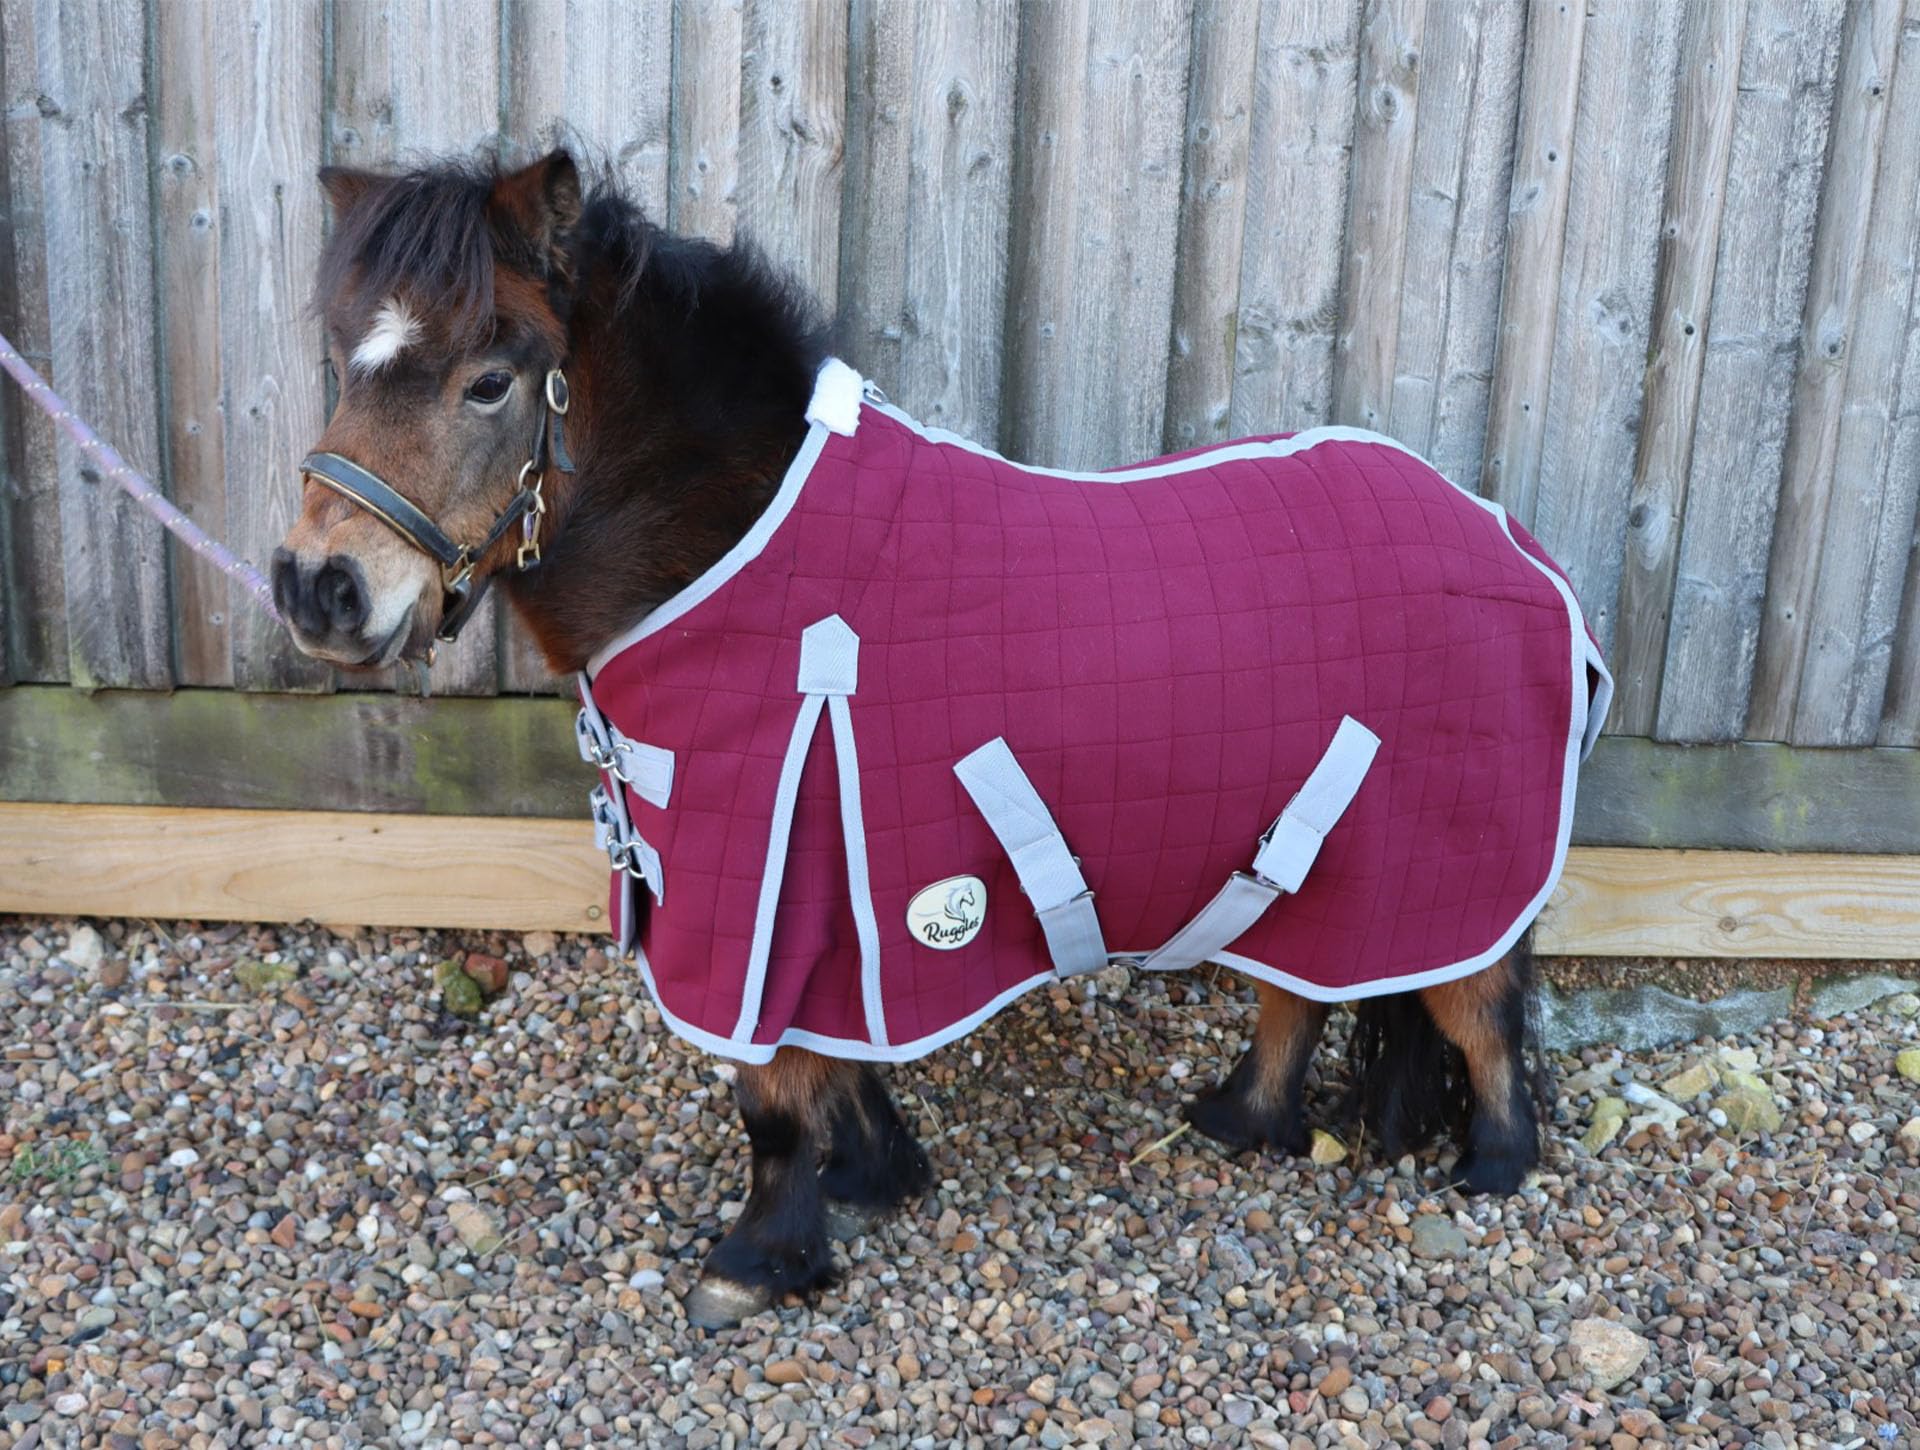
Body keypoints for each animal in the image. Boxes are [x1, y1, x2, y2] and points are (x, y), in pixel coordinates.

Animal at [274, 150, 1609, 1329]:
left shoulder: (755, 876)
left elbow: (771, 1091)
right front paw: (873, 1177)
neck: (731, 552)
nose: (318, 588)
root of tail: (1513, 541)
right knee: (1303, 987)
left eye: (491, 379)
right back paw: (1239, 1119)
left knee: (1481, 1005)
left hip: (1444, 860)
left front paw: (760, 1258)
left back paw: (1493, 1164)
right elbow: (837, 1058)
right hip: (1313, 859)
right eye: (341, 361)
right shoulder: (816, 880)